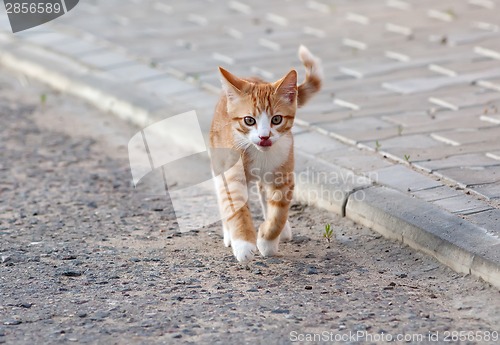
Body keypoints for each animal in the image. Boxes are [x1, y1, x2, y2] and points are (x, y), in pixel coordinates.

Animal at [209, 45, 322, 260]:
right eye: (249, 120)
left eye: (276, 119)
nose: (264, 137)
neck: (260, 154)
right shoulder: (233, 177)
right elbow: (236, 209)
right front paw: (243, 244)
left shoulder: (284, 177)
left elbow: (278, 214)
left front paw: (267, 241)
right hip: (218, 161)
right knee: (222, 197)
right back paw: (228, 233)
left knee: (264, 195)